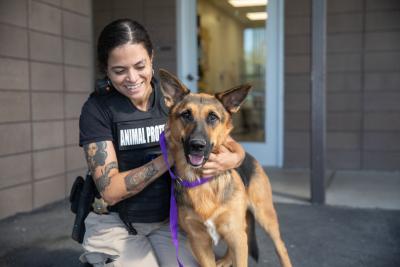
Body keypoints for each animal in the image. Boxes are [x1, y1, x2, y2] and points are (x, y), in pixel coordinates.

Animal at [159, 69, 294, 267]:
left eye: (212, 117)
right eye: (186, 115)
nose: (197, 145)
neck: (200, 179)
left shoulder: (236, 235)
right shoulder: (199, 242)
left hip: (265, 217)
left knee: (281, 247)